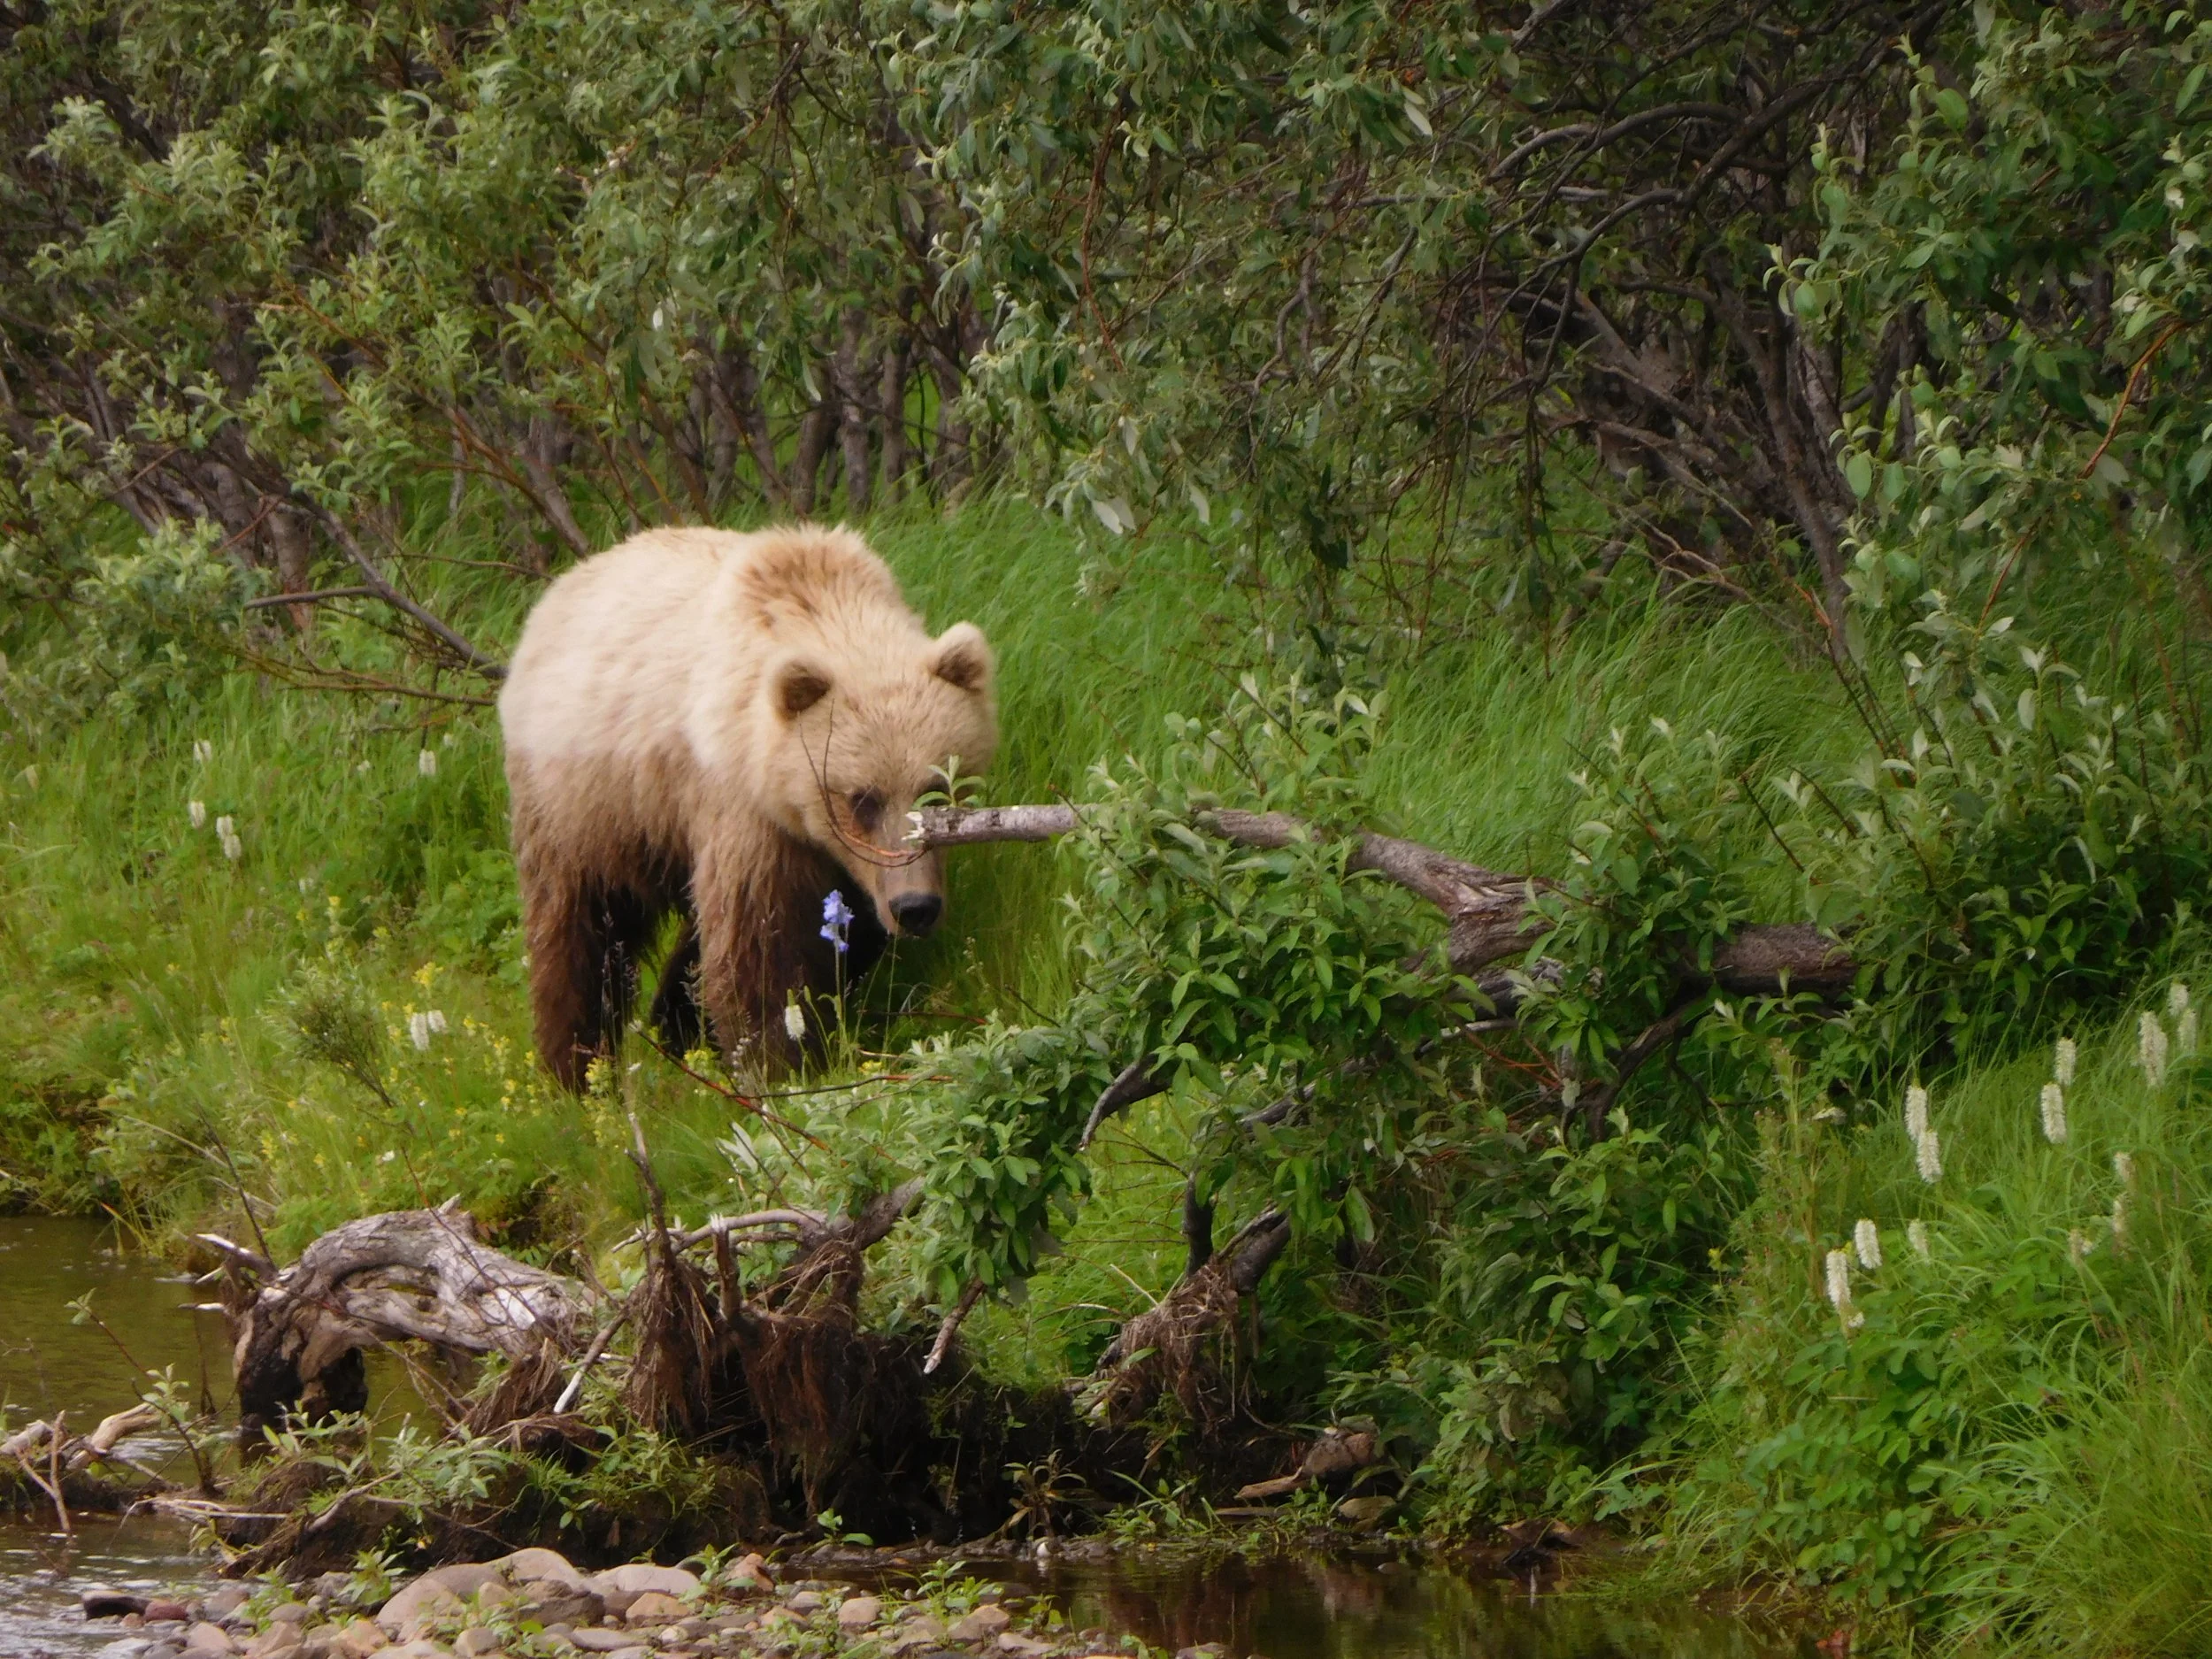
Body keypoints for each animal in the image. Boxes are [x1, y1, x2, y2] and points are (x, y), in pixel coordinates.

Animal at [497, 523, 997, 1089]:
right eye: (861, 798)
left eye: (936, 790)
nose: (915, 907)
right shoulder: (744, 813)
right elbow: (761, 948)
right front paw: (783, 1063)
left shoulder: (835, 859)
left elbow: (845, 926)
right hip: (588, 807)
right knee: (579, 932)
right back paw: (576, 1069)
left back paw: (673, 1023)